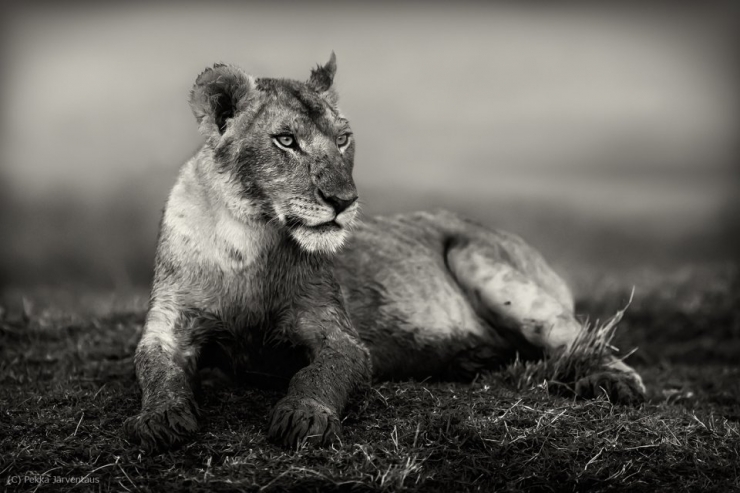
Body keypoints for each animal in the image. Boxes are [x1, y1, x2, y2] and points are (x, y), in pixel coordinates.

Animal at [124, 54, 645, 452]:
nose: (343, 200)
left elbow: (318, 375)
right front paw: (161, 419)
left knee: (579, 338)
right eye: (286, 140)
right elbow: (154, 370)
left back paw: (613, 382)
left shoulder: (339, 335)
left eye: (342, 139)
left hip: (478, 259)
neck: (246, 242)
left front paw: (303, 417)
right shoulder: (166, 329)